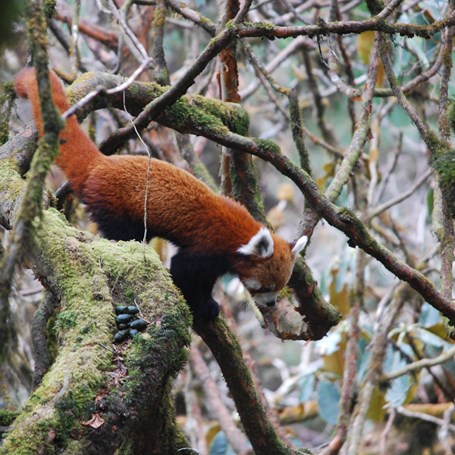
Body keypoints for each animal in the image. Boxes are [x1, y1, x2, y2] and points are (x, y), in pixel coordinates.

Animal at [15, 68, 306, 320]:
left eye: (280, 285)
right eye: (266, 286)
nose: (271, 303)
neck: (239, 235)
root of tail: (102, 163)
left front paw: (208, 303)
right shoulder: (207, 246)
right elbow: (183, 270)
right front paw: (201, 305)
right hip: (115, 207)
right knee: (121, 235)